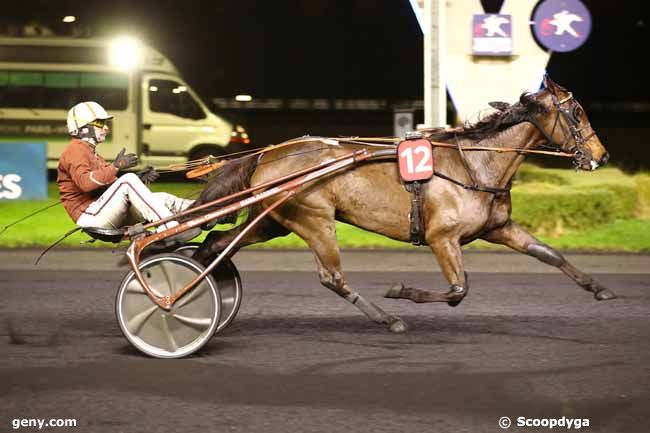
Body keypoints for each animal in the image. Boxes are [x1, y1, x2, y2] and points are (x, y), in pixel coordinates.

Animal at [186, 75, 612, 330]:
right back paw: (387, 317)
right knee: (331, 276)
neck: (475, 164)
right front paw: (401, 291)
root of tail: (265, 154)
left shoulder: (499, 227)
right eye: (577, 113)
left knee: (216, 244)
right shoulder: (443, 238)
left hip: (272, 220)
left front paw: (598, 288)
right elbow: (458, 290)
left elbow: (548, 253)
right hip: (314, 219)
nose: (602, 156)